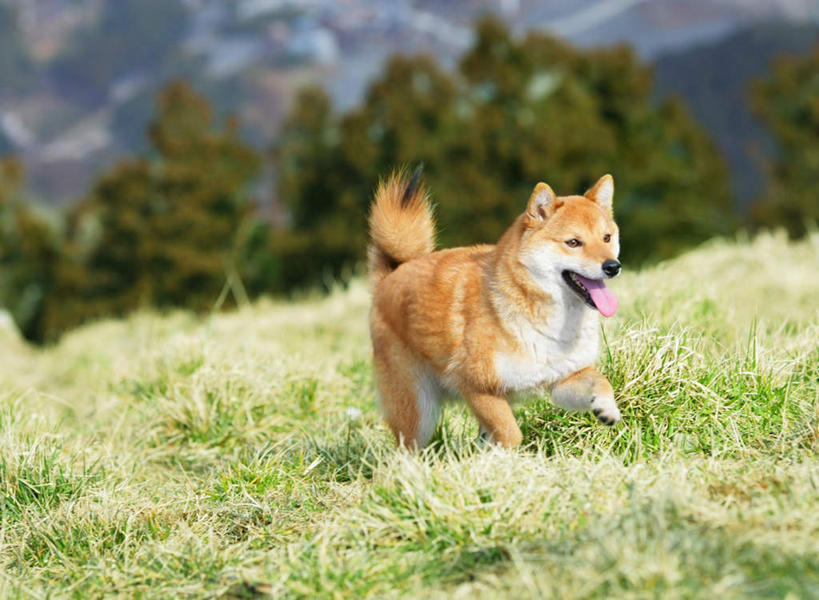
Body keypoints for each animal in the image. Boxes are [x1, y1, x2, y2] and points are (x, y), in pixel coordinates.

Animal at [366, 166, 620, 448]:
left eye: (606, 238)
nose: (612, 266)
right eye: (573, 242)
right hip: (418, 413)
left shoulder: (563, 379)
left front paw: (607, 407)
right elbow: (510, 434)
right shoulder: (476, 386)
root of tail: (391, 275)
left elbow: (601, 382)